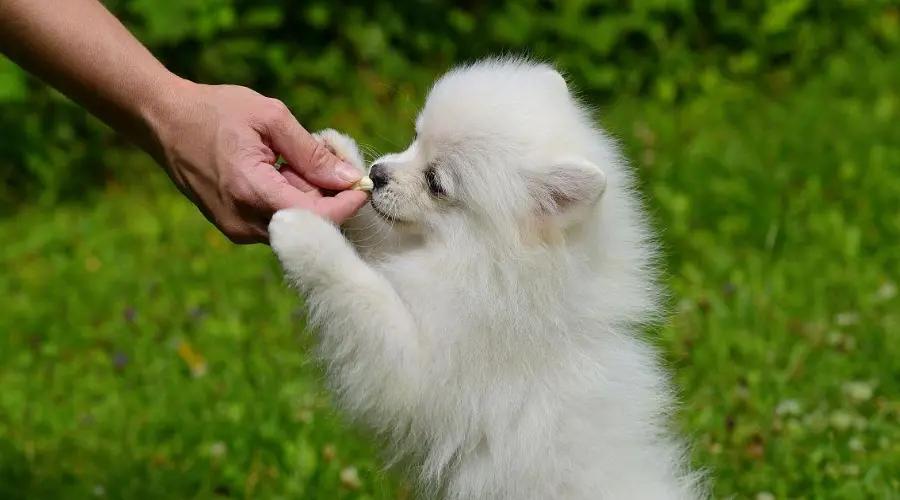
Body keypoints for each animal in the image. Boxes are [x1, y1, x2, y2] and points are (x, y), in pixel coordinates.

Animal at [270, 55, 708, 500]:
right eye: (415, 137)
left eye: (436, 183)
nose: (377, 174)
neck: (490, 265)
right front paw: (339, 158)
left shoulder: (420, 368)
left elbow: (361, 290)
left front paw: (302, 232)